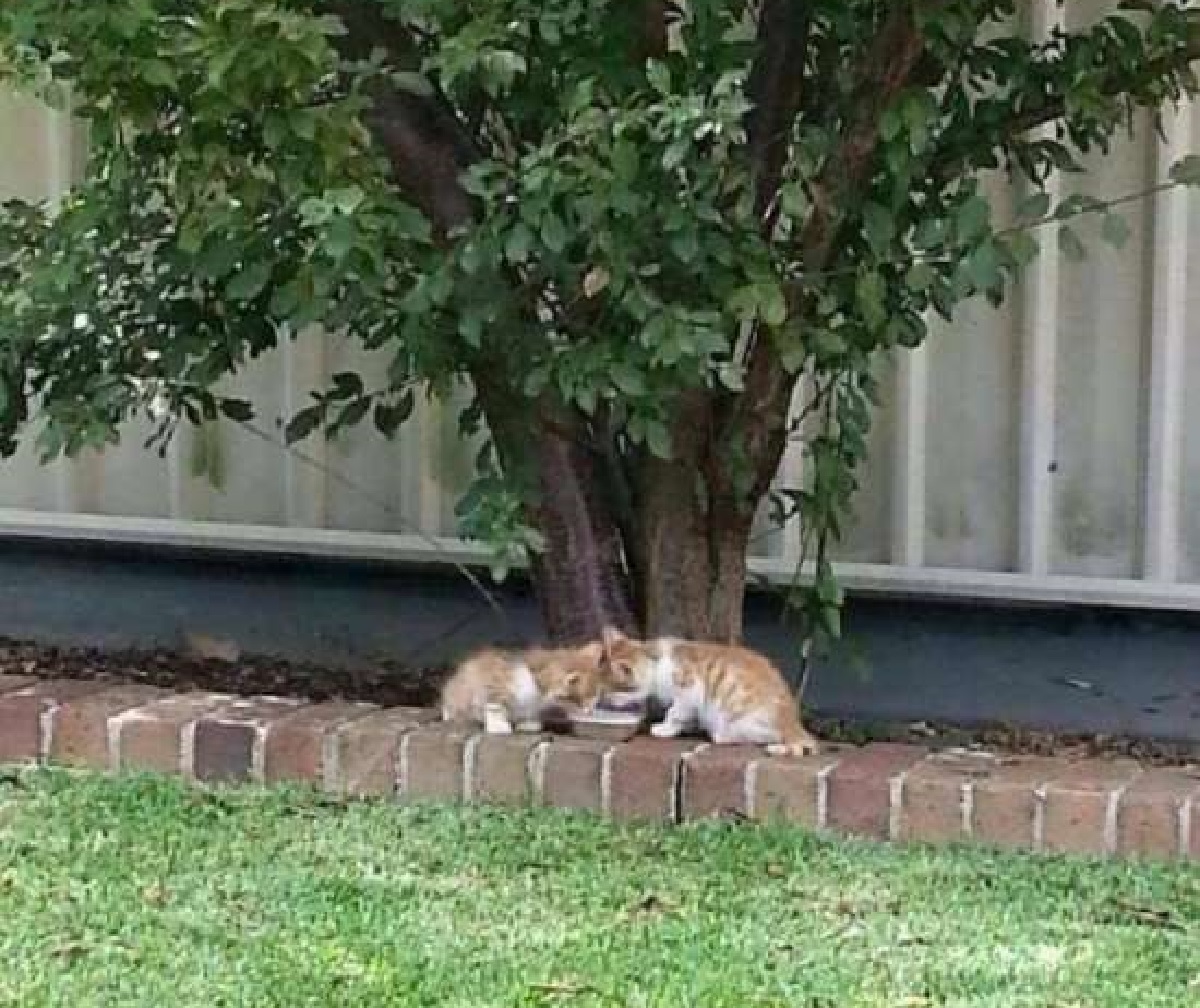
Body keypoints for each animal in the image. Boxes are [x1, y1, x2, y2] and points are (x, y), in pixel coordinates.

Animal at [441, 643, 604, 734]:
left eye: (595, 698)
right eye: (588, 699)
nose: (590, 711)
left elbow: (528, 712)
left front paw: (527, 723)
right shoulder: (493, 681)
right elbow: (495, 705)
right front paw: (499, 726)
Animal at [597, 624, 816, 758]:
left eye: (609, 692)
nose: (605, 702)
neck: (657, 661)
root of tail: (794, 723)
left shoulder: (690, 690)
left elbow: (674, 712)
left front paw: (665, 727)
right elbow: (685, 716)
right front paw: (680, 728)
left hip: (740, 714)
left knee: (768, 736)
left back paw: (725, 735)